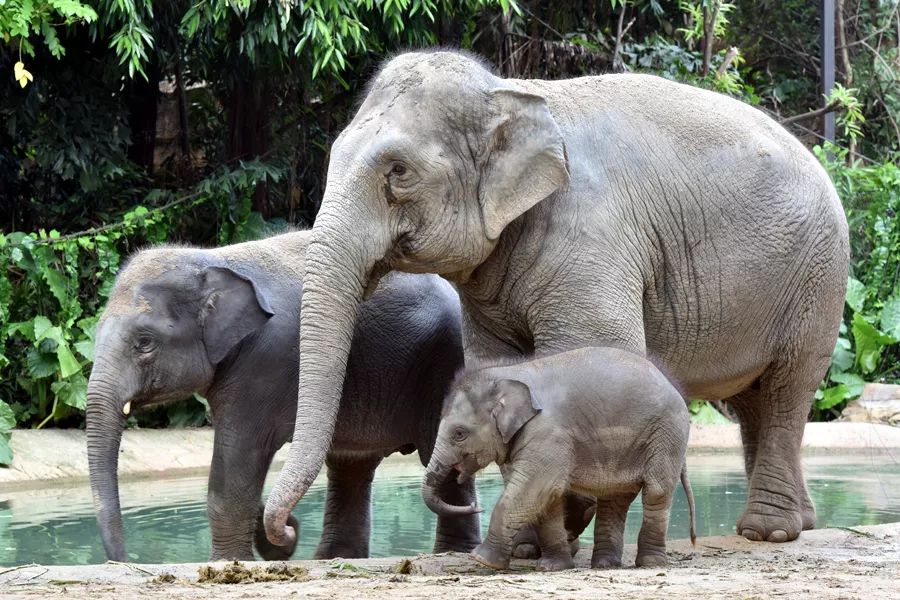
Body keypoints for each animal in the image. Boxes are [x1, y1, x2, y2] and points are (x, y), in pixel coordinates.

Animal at [422, 344, 696, 568]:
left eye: (459, 433)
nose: (475, 506)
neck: (507, 373)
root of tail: (674, 386)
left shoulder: (547, 433)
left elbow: (533, 489)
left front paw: (482, 560)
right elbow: (549, 496)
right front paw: (552, 567)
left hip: (666, 434)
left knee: (656, 491)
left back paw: (650, 563)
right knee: (615, 497)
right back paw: (605, 565)